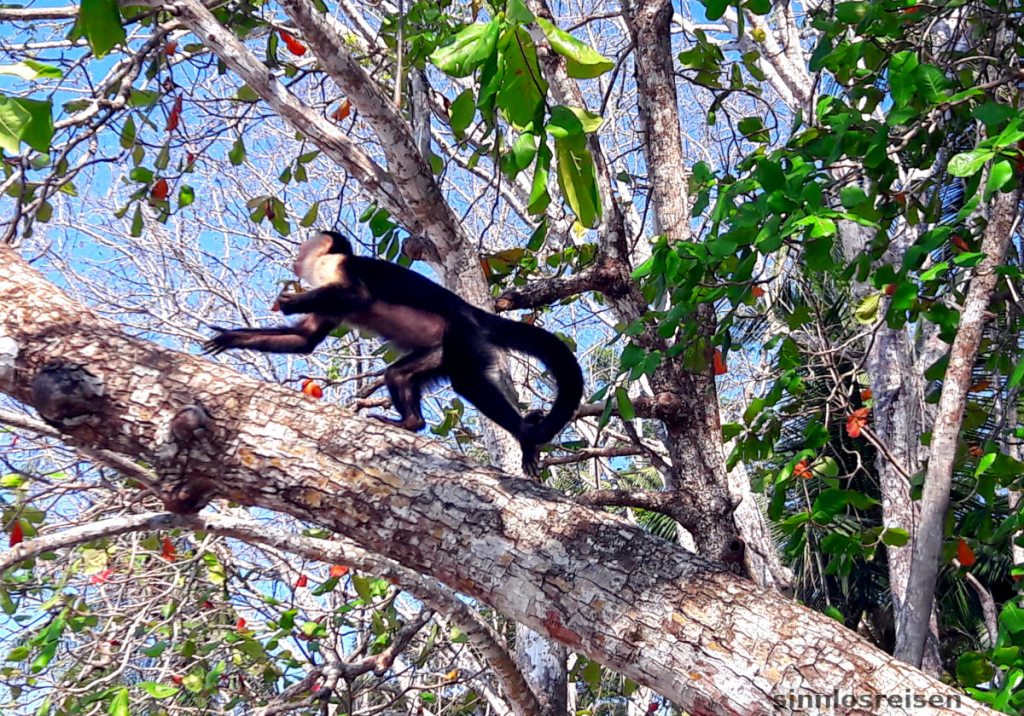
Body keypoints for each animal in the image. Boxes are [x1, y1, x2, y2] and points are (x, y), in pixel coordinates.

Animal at [203, 230, 584, 476]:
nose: (298, 255)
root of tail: (474, 312)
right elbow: (305, 339)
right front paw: (231, 338)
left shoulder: (337, 267)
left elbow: (356, 297)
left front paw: (292, 300)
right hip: (441, 350)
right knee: (398, 374)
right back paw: (410, 422)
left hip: (465, 335)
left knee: (466, 382)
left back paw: (525, 435)